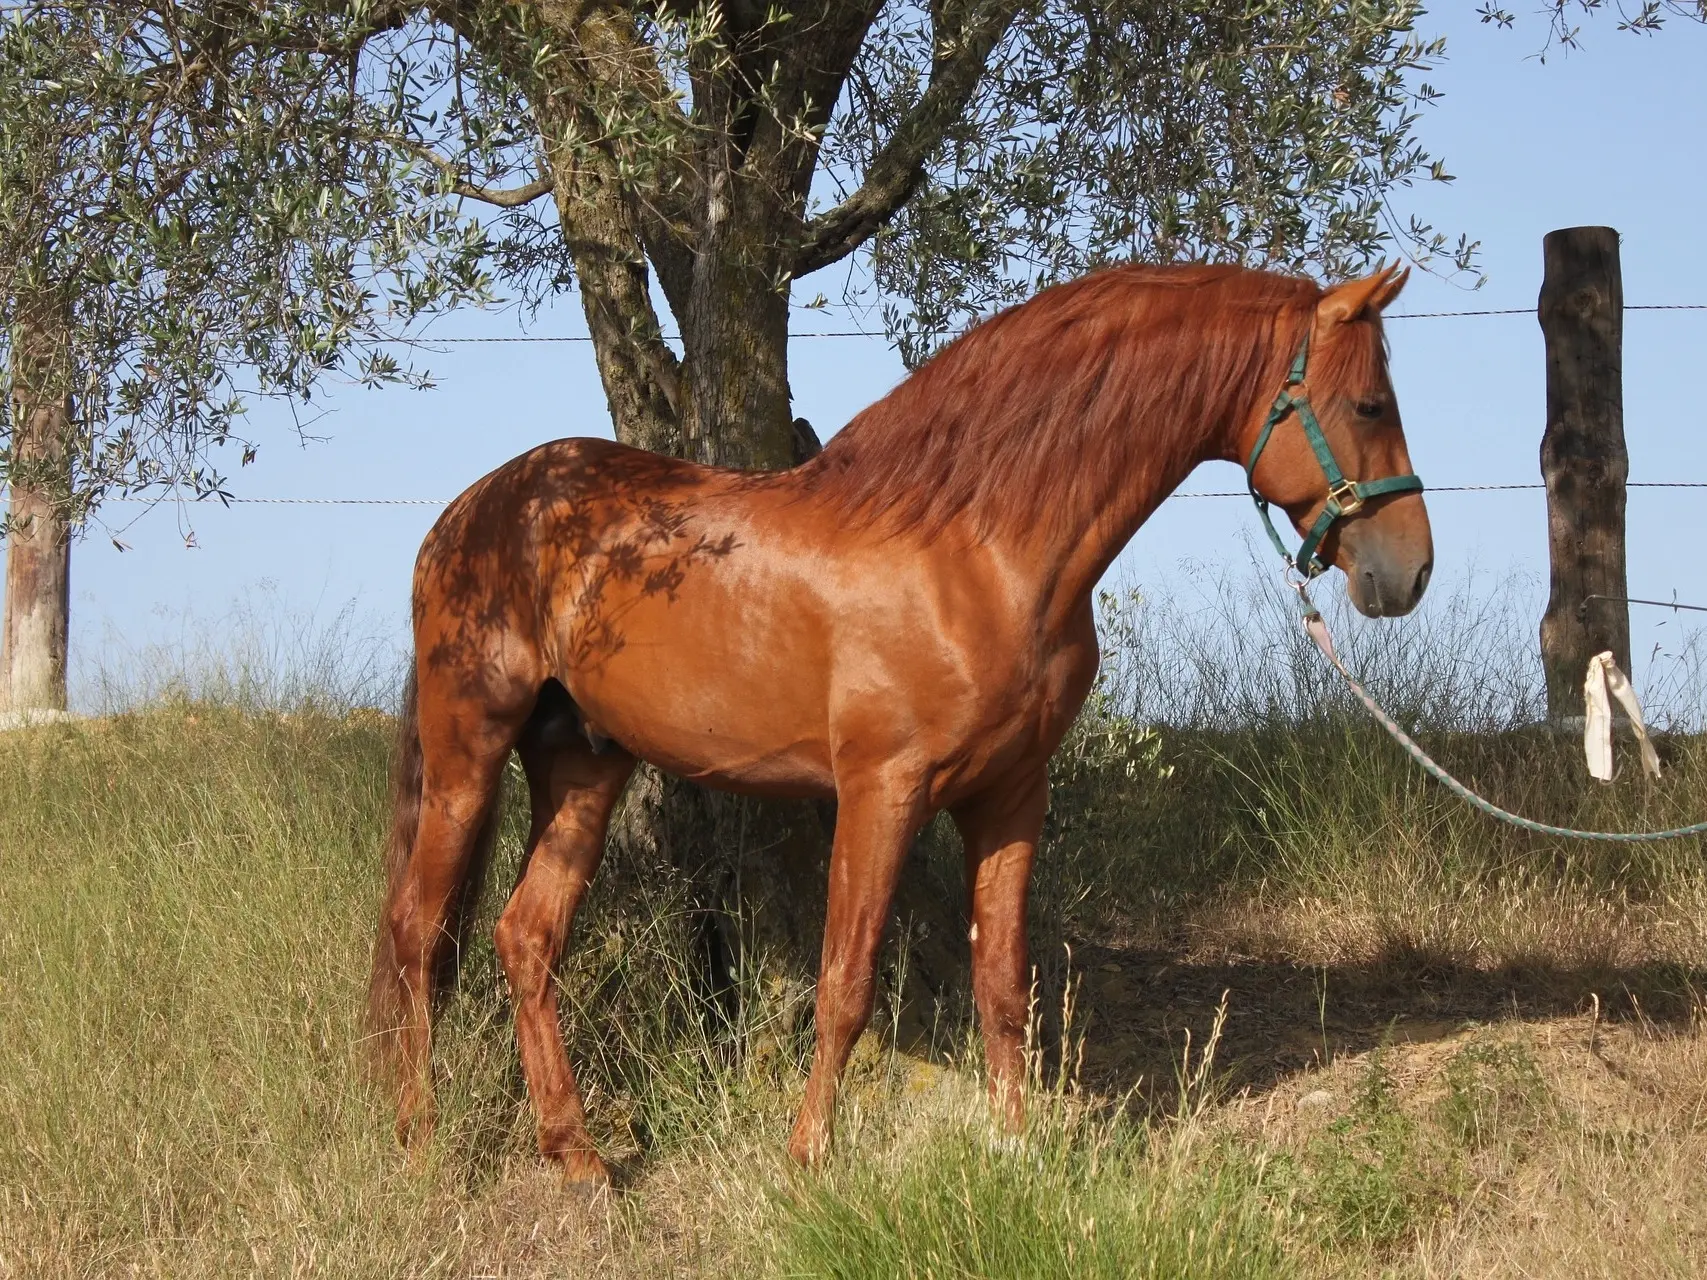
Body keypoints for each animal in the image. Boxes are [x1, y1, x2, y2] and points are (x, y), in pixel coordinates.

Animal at [367, 261, 1433, 1181]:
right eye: (1370, 406)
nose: (1408, 572)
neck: (976, 547)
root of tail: (467, 513)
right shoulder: (881, 789)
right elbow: (844, 987)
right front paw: (807, 1162)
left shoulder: (1010, 796)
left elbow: (1001, 982)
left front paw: (1015, 1151)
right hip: (469, 750)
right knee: (418, 935)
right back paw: (416, 1140)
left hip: (584, 764)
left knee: (524, 937)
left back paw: (578, 1157)